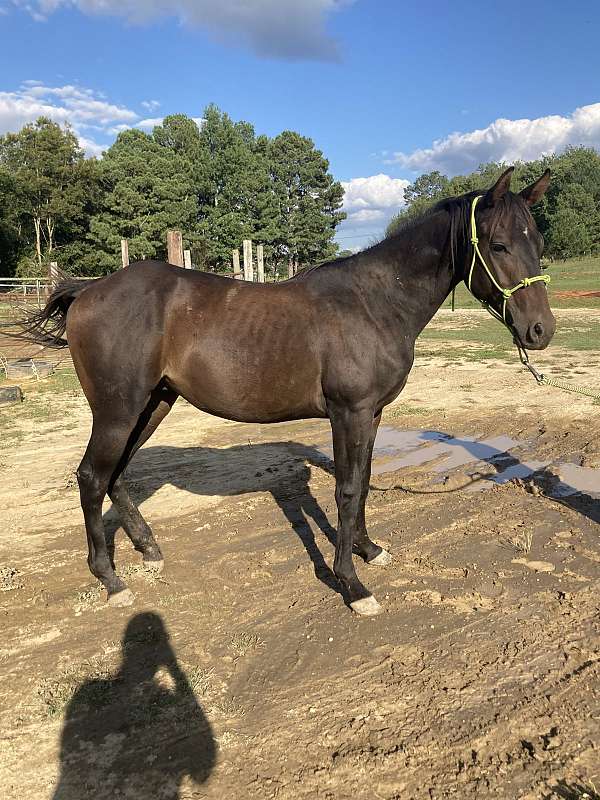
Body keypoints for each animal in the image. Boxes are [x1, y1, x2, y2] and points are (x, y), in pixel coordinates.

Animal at [25, 166, 556, 616]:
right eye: (499, 245)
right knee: (92, 478)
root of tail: (89, 290)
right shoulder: (349, 413)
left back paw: (149, 550)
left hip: (152, 404)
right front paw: (351, 584)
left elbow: (363, 482)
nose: (540, 331)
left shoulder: (372, 414)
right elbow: (345, 489)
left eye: (537, 240)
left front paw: (369, 550)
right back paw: (111, 580)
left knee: (115, 475)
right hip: (118, 410)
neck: (374, 302)